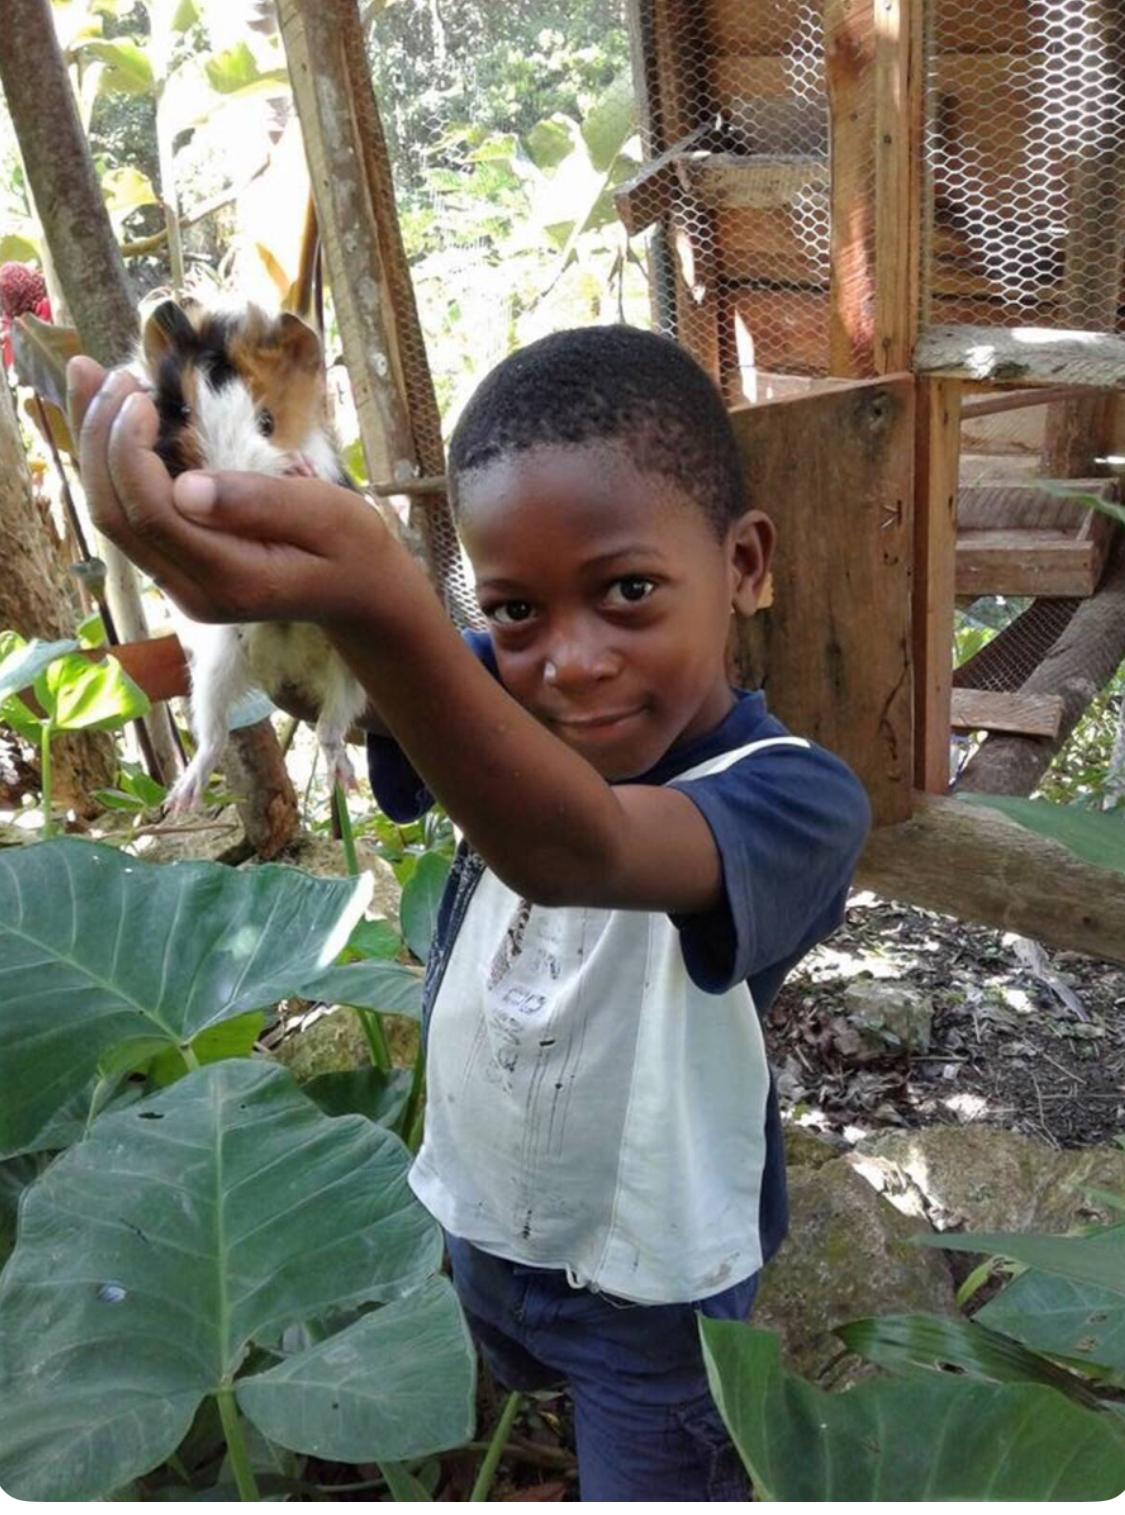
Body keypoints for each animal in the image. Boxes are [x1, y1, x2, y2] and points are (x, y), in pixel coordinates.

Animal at [139, 299, 369, 812]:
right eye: (183, 410)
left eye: (267, 422)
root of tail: (287, 663)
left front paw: (300, 467)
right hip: (215, 670)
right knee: (214, 738)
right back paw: (180, 802)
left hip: (350, 674)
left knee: (330, 730)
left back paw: (345, 784)